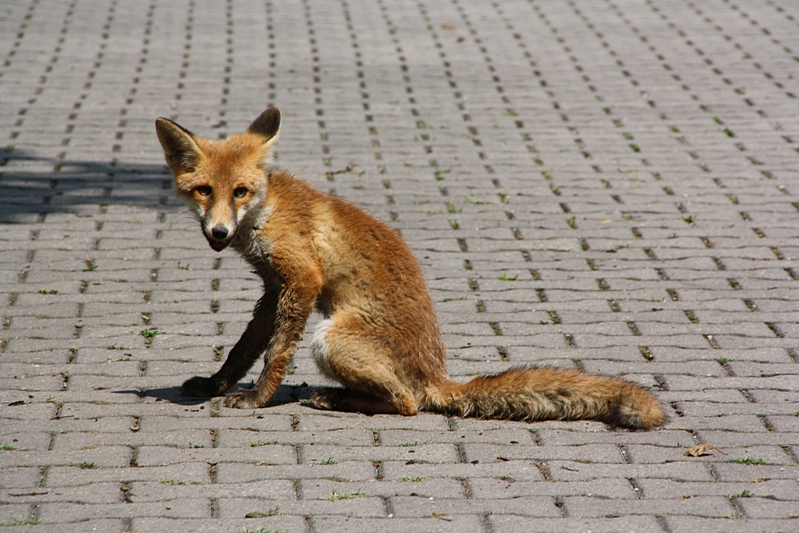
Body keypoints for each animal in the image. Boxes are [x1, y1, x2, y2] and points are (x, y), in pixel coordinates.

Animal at [156, 107, 668, 428]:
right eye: (204, 191)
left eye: (240, 191)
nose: (219, 232)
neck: (268, 211)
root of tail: (435, 374)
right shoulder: (273, 286)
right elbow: (243, 349)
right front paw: (214, 384)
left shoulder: (301, 279)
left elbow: (275, 354)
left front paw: (257, 399)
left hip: (331, 336)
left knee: (408, 403)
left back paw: (338, 399)